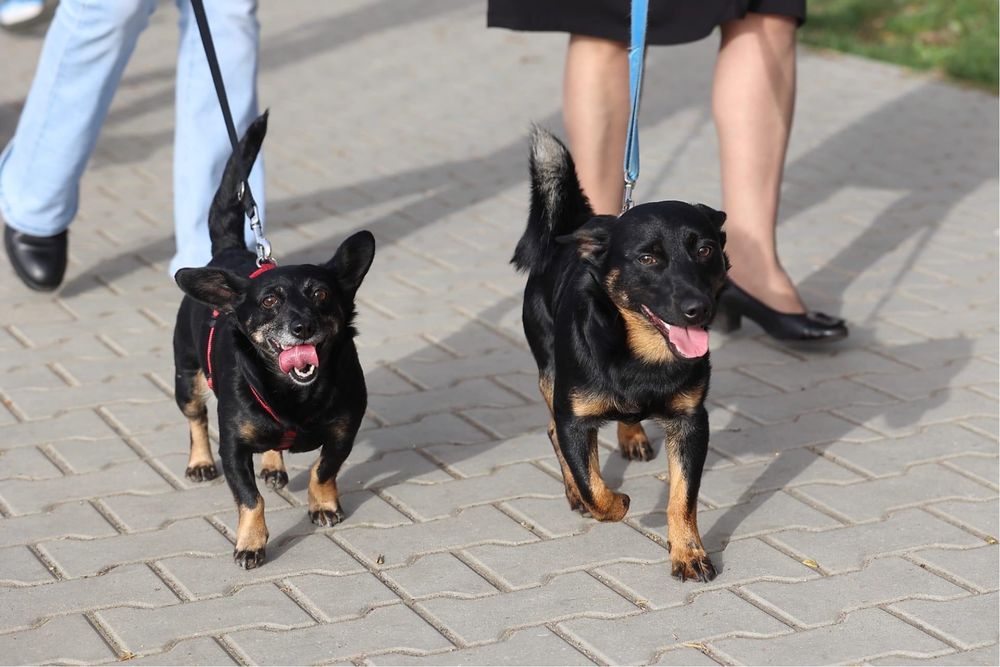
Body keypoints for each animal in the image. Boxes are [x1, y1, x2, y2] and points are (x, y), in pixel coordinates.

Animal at [172, 113, 376, 568]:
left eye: (321, 295)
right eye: (269, 301)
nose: (301, 327)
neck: (294, 396)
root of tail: (230, 254)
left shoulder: (344, 430)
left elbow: (323, 469)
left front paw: (323, 504)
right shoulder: (233, 448)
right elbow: (251, 499)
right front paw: (250, 542)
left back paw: (272, 462)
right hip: (186, 378)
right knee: (195, 419)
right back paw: (199, 461)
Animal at [512, 128, 732, 580]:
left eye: (705, 250)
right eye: (647, 258)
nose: (698, 308)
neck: (643, 354)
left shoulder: (690, 422)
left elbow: (683, 498)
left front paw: (689, 553)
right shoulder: (574, 418)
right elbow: (594, 488)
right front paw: (614, 501)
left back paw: (632, 434)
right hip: (549, 371)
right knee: (553, 432)